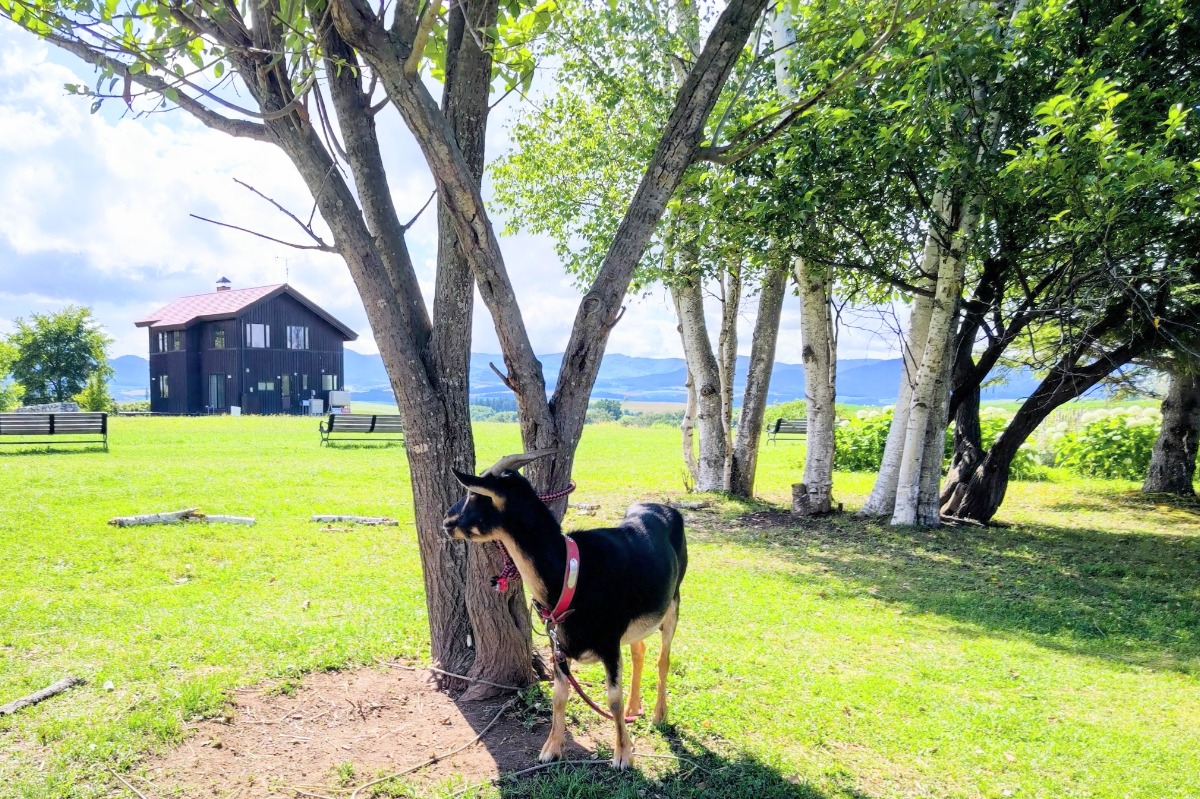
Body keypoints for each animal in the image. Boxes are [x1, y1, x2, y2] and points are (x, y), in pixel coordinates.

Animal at [439, 448, 686, 767]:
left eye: (474, 495)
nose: (447, 520)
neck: (571, 574)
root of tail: (663, 508)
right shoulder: (559, 645)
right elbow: (559, 695)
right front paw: (551, 749)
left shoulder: (609, 642)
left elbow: (612, 699)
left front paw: (623, 754)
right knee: (639, 650)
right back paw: (635, 708)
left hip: (673, 603)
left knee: (663, 659)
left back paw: (658, 715)